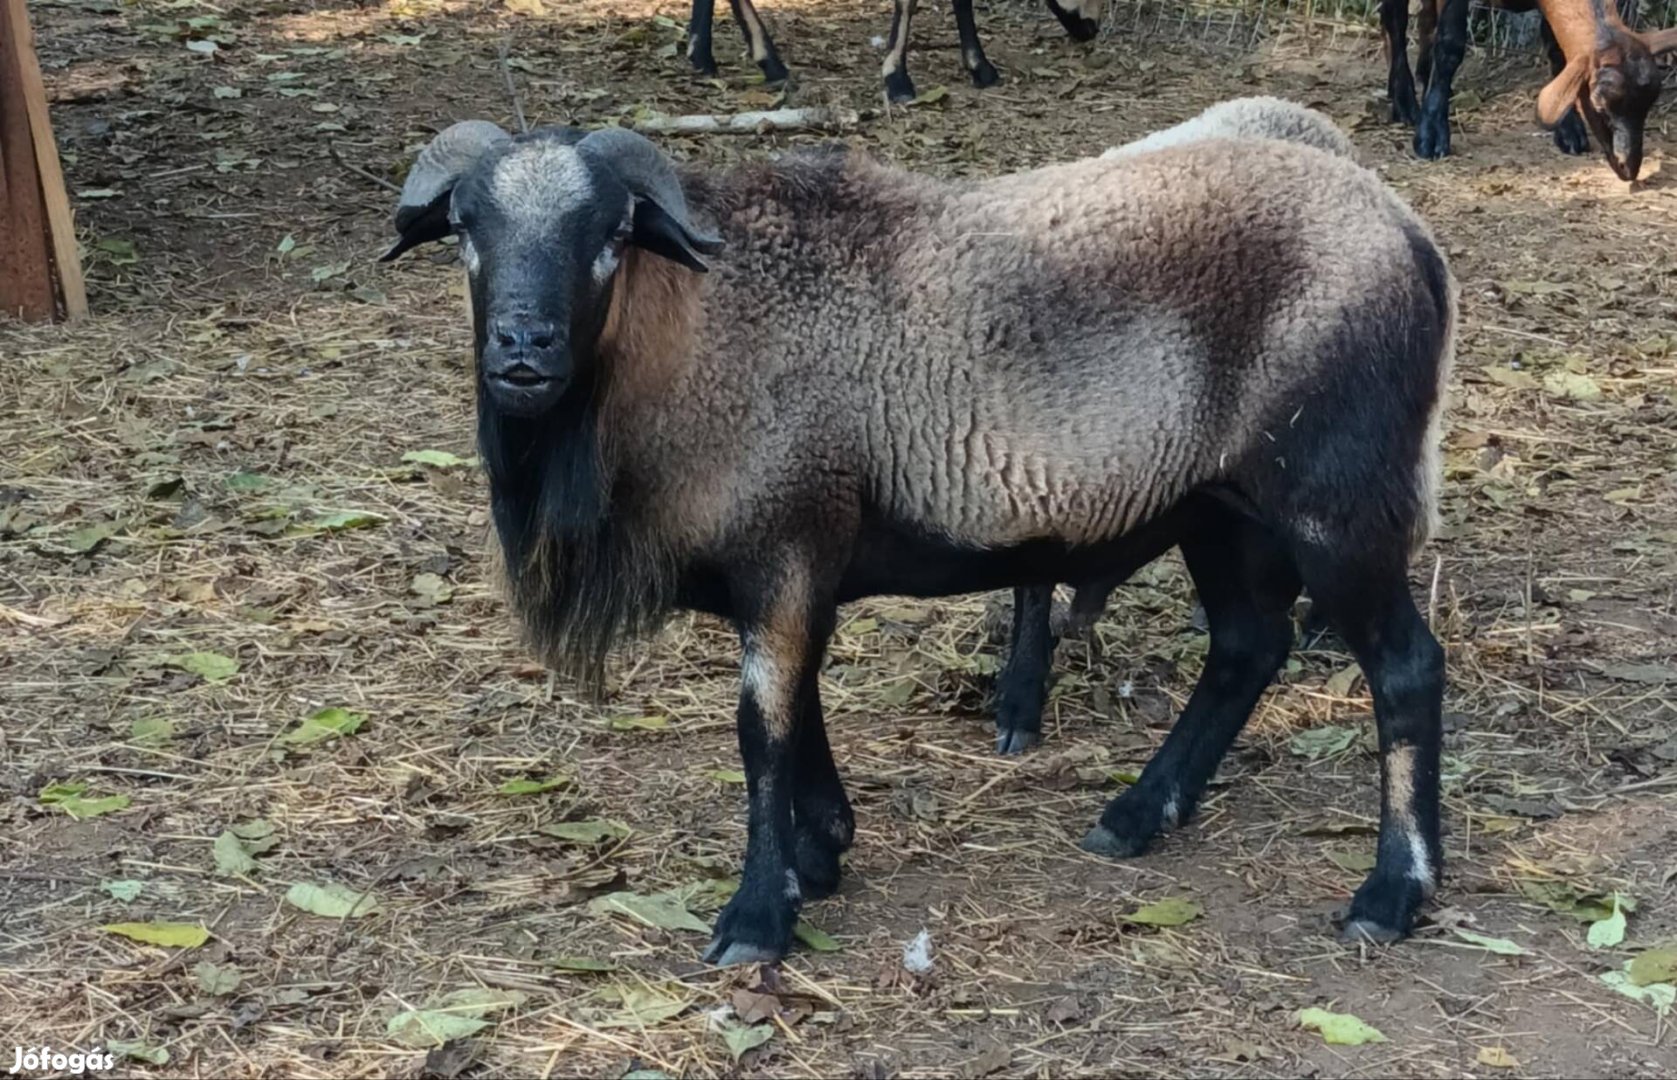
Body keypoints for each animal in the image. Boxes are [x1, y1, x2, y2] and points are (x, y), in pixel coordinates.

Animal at [385, 122, 1462, 965]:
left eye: (610, 234)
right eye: (466, 229)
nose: (523, 348)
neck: (690, 337)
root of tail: (1408, 233)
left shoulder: (785, 542)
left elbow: (762, 730)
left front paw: (756, 917)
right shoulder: (795, 563)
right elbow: (799, 709)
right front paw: (820, 852)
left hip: (1335, 500)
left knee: (1404, 667)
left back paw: (1390, 893)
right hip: (1220, 510)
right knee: (1246, 648)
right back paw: (1136, 814)